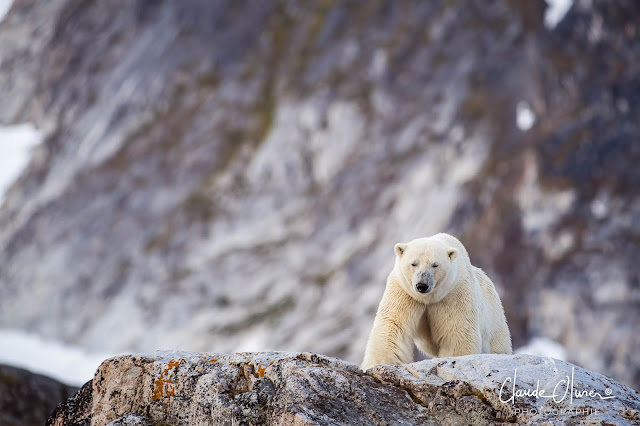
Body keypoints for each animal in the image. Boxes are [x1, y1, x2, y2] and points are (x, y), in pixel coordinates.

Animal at [362, 233, 512, 370]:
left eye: (435, 265)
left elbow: (457, 330)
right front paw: (380, 362)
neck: (429, 298)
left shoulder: (453, 293)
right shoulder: (404, 290)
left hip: (494, 319)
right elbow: (394, 323)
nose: (422, 285)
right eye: (413, 263)